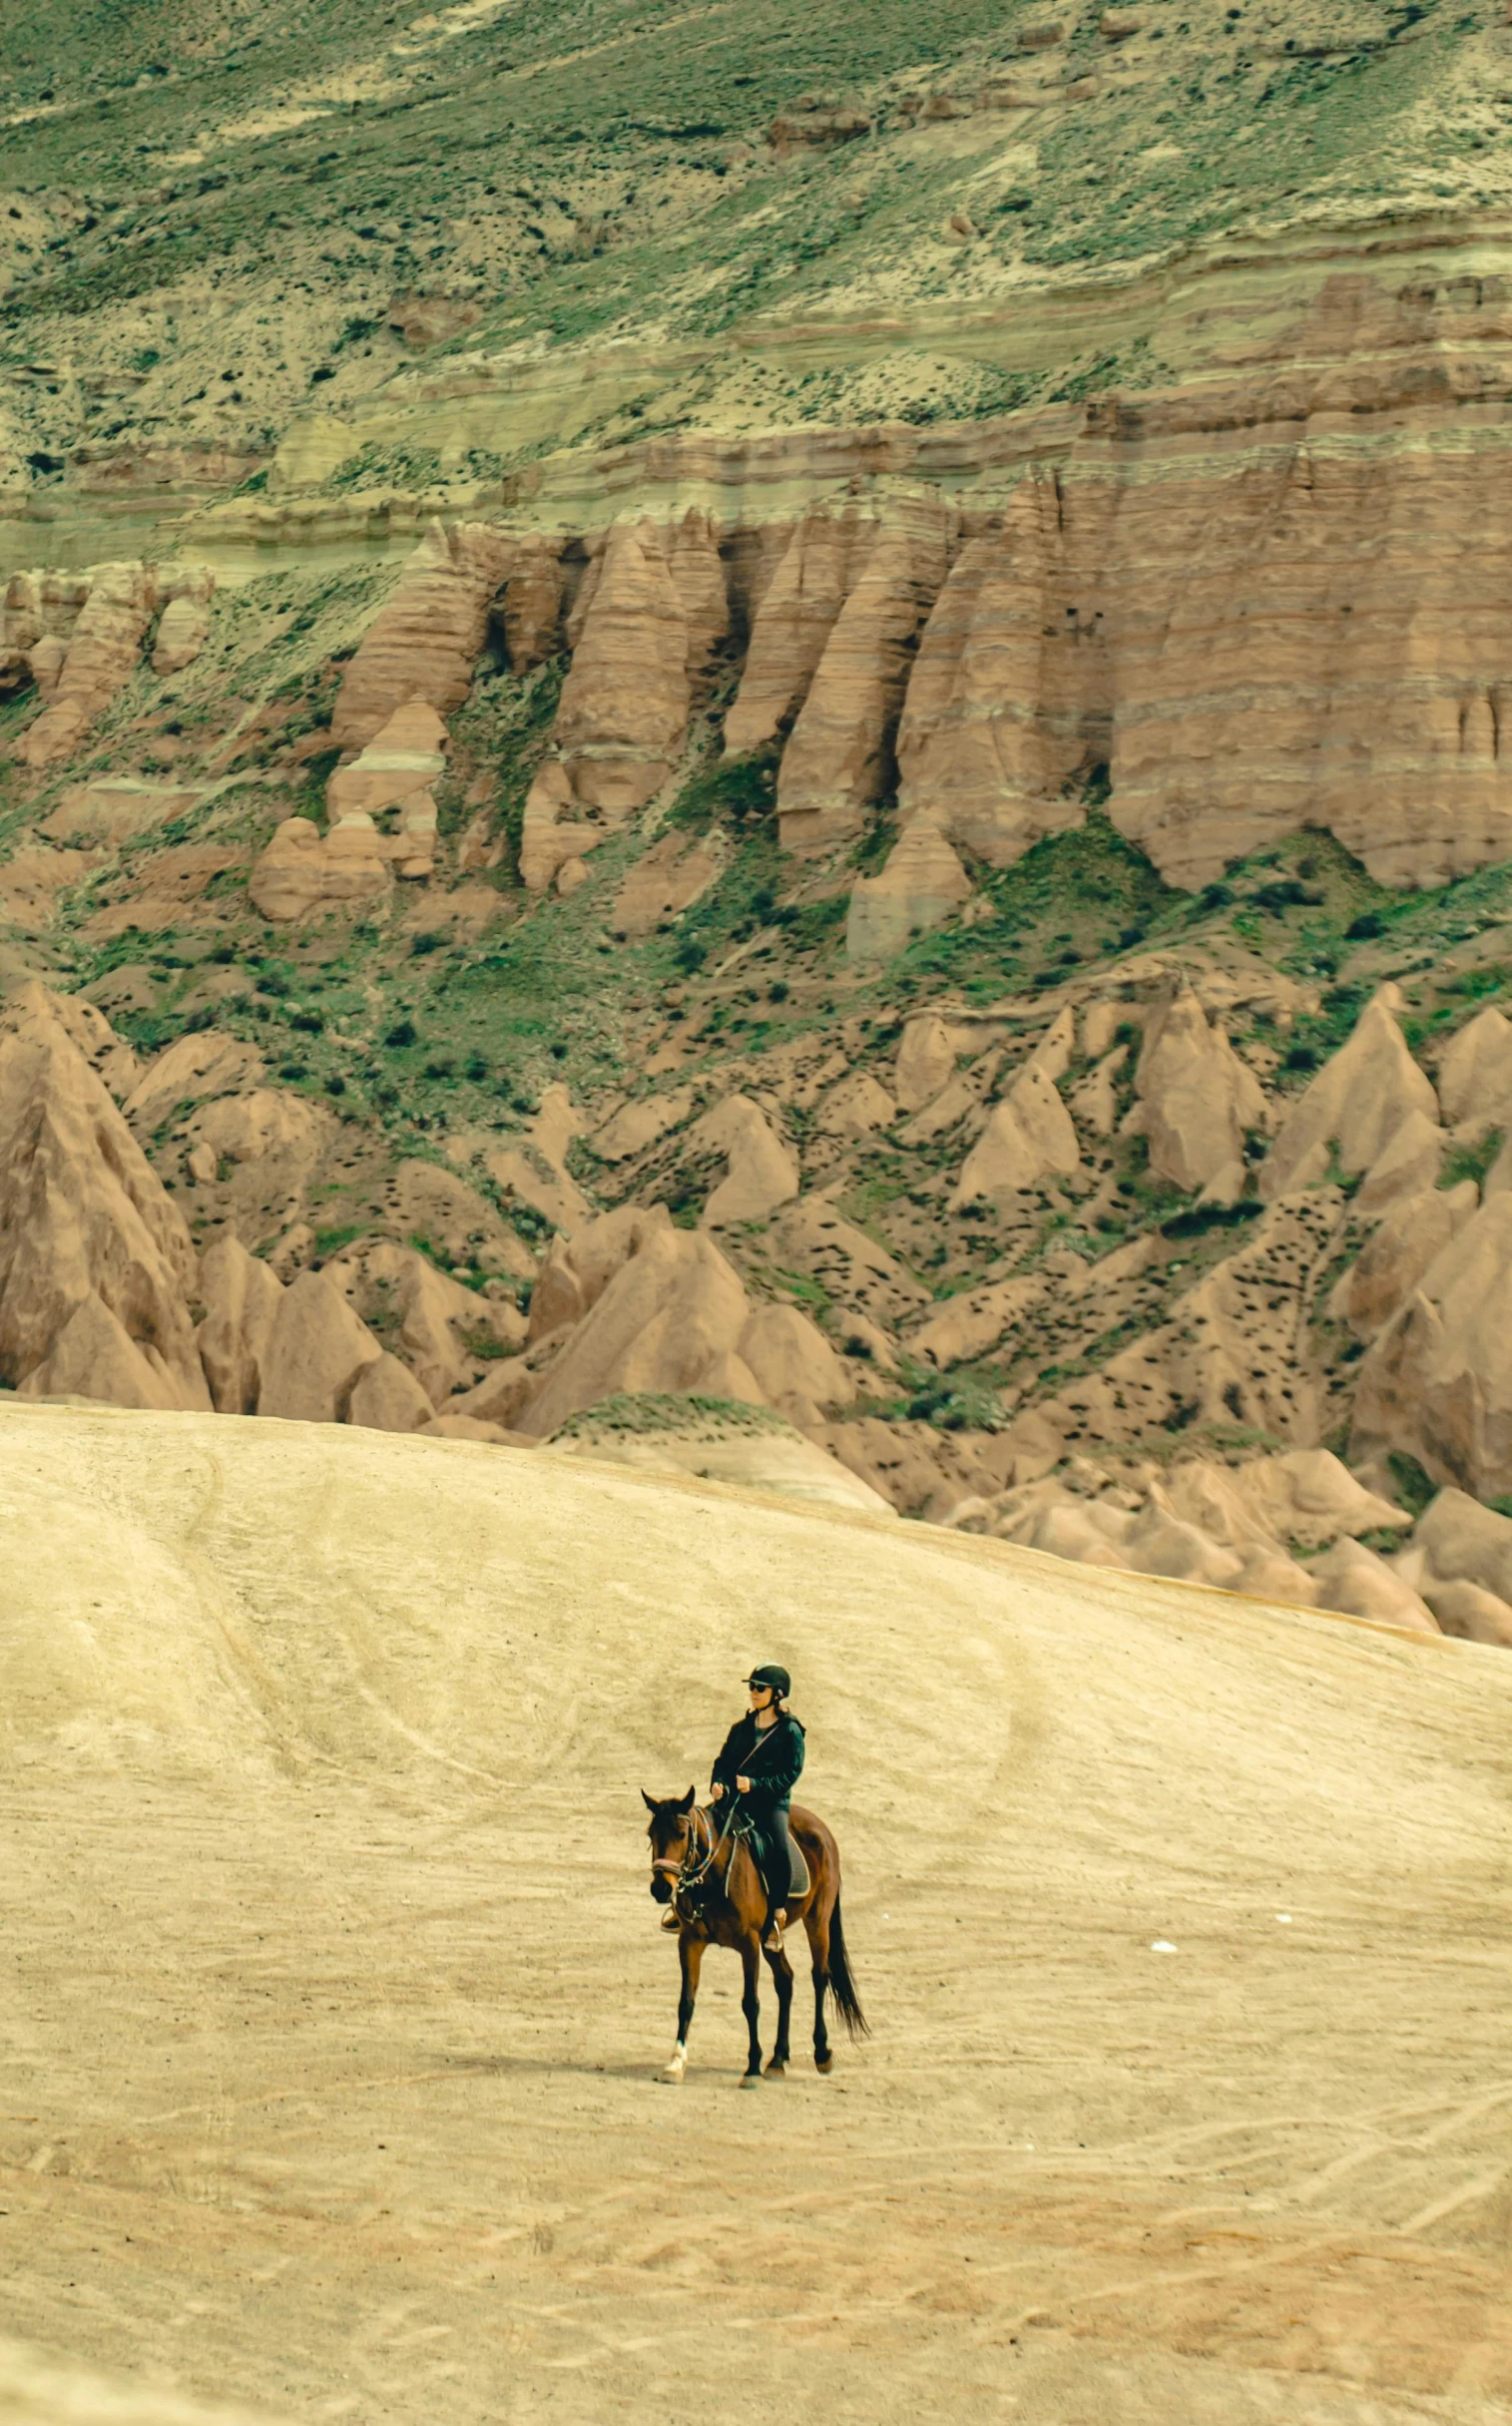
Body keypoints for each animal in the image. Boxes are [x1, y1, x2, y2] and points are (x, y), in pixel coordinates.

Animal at [645, 1785, 868, 2086]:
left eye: (681, 1834)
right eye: (651, 1834)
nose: (660, 1889)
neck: (713, 1876)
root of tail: (821, 1828)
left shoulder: (748, 1943)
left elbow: (750, 2003)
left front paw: (751, 2067)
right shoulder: (690, 1942)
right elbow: (686, 2002)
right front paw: (675, 2063)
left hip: (817, 1922)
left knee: (819, 1977)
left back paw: (821, 2053)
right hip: (771, 1939)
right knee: (785, 1980)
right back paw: (777, 2059)